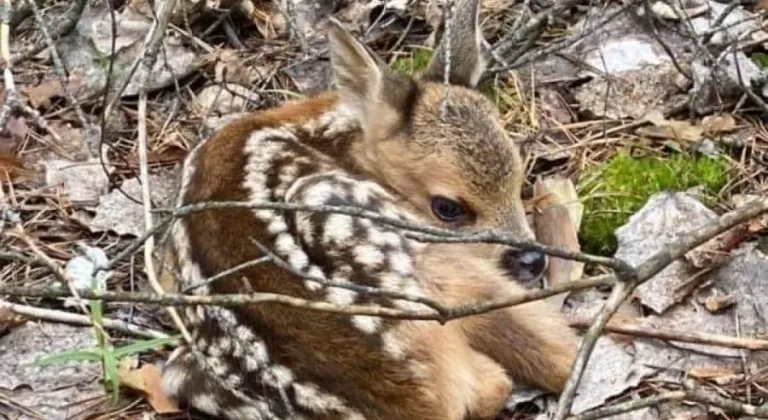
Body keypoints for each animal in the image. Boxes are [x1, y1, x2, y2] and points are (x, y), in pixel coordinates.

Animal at [162, 0, 580, 418]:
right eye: (447, 207)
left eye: (519, 174)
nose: (532, 260)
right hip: (353, 217)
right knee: (509, 372)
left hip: (180, 371)